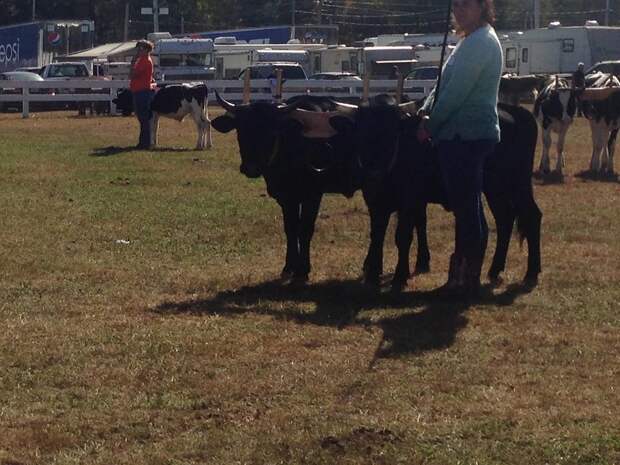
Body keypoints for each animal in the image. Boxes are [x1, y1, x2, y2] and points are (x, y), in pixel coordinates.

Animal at [212, 93, 360, 282]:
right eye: (240, 129)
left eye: (271, 130)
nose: (251, 167)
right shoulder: (286, 197)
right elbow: (290, 229)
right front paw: (289, 267)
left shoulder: (312, 195)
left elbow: (304, 229)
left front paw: (303, 270)